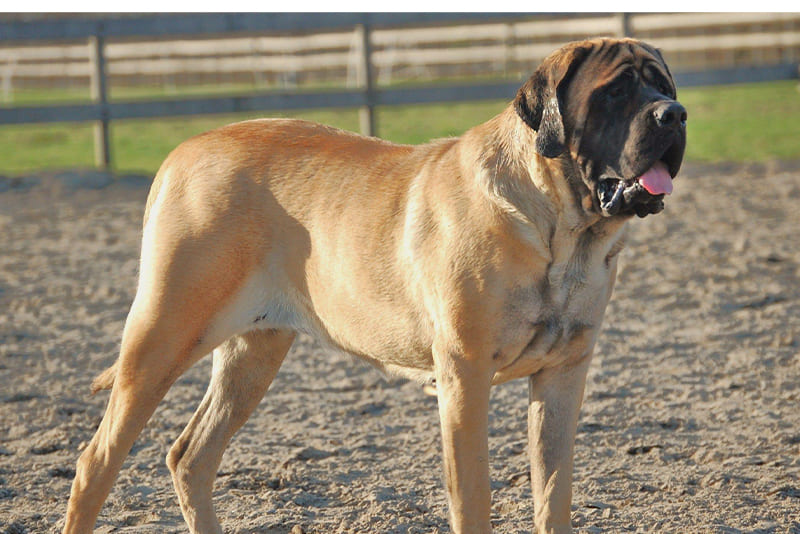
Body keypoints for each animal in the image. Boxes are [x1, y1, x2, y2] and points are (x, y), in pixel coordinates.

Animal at [62, 35, 688, 532]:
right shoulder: (464, 375)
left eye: (663, 85)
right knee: (97, 462)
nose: (675, 114)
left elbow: (553, 495)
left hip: (254, 354)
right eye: (615, 92)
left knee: (190, 456)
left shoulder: (563, 374)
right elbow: (473, 496)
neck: (563, 234)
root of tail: (181, 153)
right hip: (163, 337)